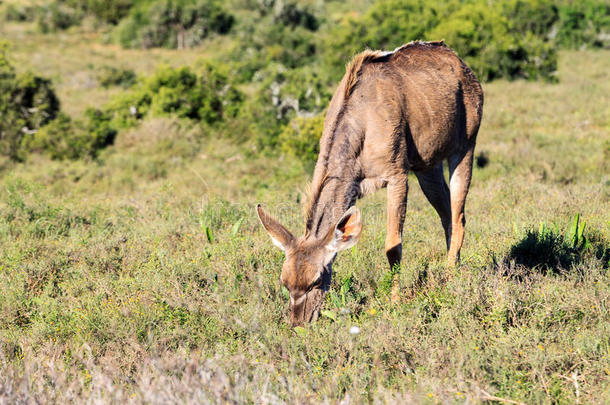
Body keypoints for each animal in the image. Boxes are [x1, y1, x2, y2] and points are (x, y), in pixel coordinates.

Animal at [254, 40, 482, 326]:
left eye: (316, 280)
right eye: (285, 282)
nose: (298, 324)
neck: (362, 123)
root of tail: (463, 66)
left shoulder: (397, 175)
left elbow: (393, 245)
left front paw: (395, 304)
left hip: (464, 148)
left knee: (459, 215)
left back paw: (450, 280)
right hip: (427, 167)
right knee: (448, 216)